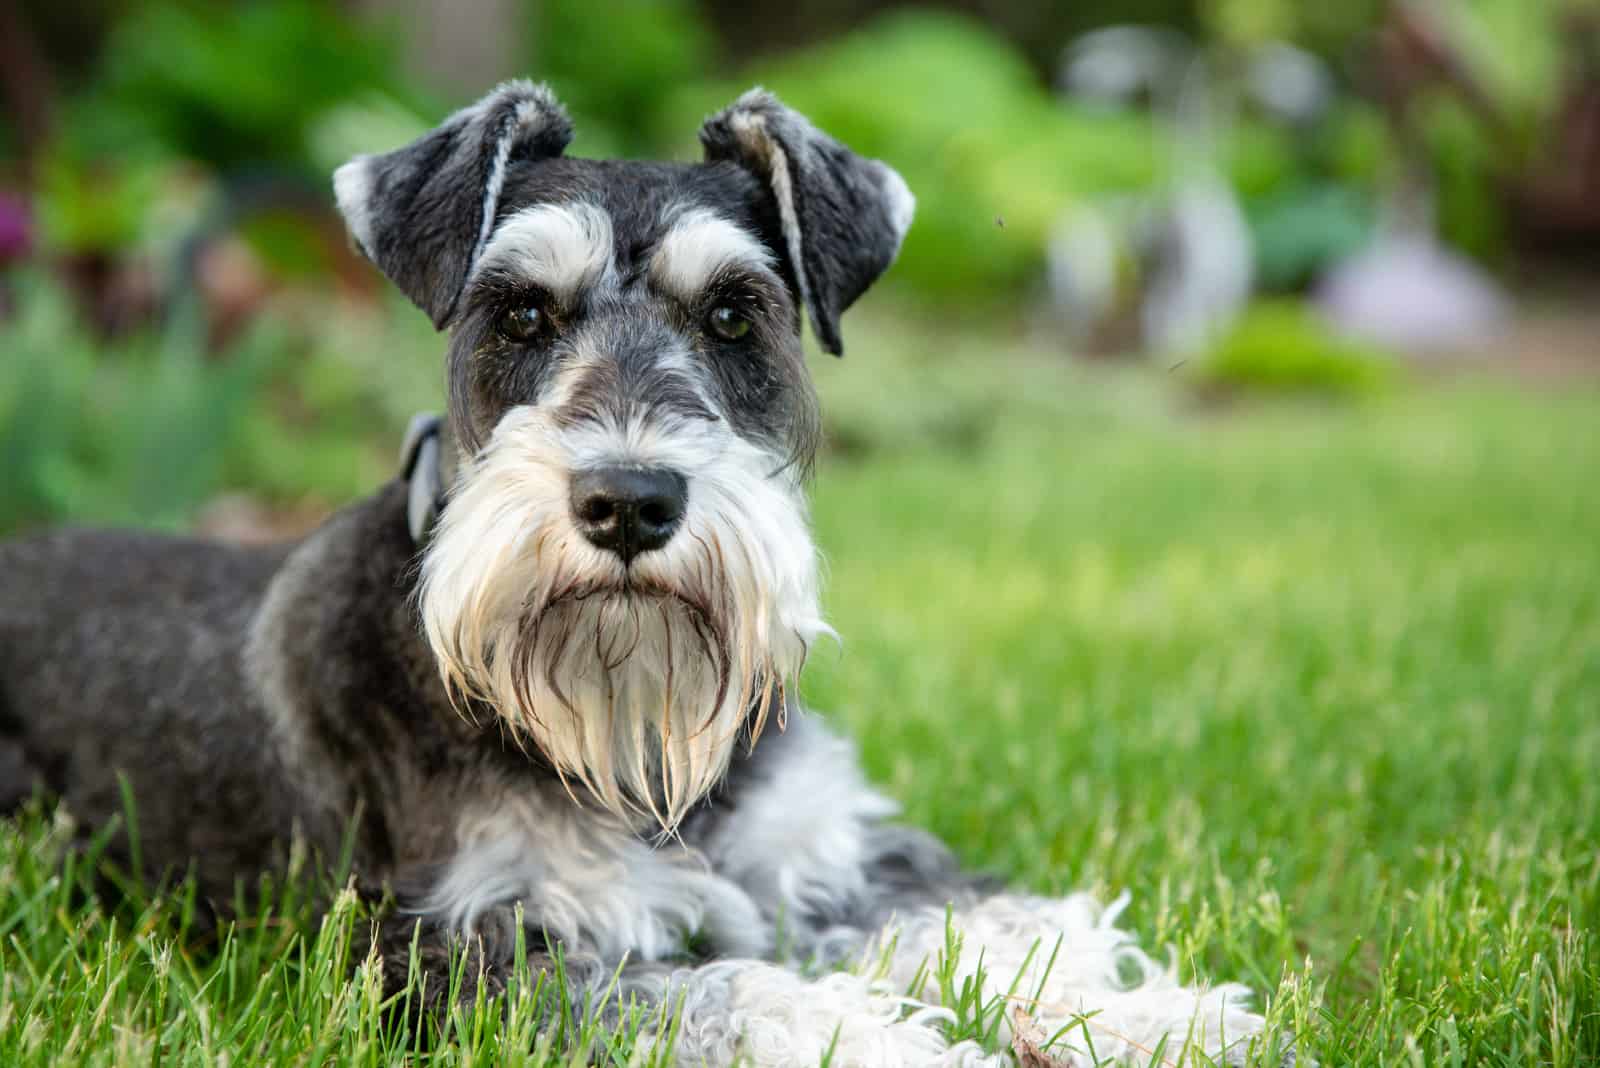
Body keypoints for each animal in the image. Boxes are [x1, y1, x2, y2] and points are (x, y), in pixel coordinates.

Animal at [0, 85, 1273, 1068]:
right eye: (519, 312)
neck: (635, 742)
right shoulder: (463, 955)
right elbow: (723, 993)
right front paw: (886, 1041)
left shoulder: (837, 856)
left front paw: (1152, 1015)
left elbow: (987, 923)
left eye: (734, 314)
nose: (628, 500)